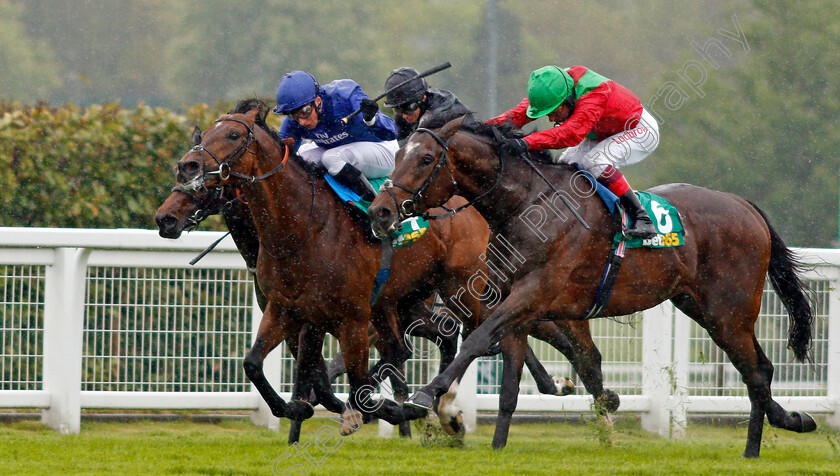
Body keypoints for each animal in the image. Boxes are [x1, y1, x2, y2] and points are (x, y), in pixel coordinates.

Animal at [167, 100, 620, 442]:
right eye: (202, 136)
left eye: (231, 135)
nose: (165, 215)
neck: (302, 226)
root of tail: (470, 205)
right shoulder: (290, 311)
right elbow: (261, 366)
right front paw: (297, 409)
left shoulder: (352, 318)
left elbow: (350, 378)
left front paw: (381, 411)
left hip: (467, 288)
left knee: (513, 335)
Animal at [370, 116, 816, 458]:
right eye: (397, 154)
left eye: (425, 158)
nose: (381, 210)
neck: (528, 205)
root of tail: (745, 206)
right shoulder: (515, 304)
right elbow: (510, 383)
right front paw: (497, 446)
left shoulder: (532, 295)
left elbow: (477, 339)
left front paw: (428, 395)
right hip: (702, 307)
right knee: (759, 369)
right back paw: (789, 421)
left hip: (729, 312)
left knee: (756, 372)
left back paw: (754, 448)